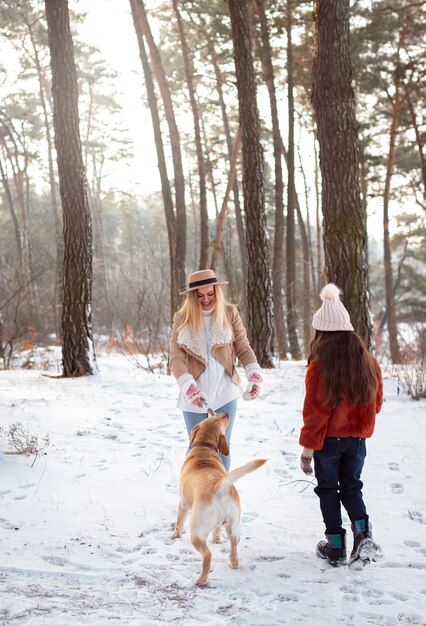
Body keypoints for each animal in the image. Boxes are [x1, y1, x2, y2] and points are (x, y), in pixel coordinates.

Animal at [171, 412, 266, 584]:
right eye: (216, 418)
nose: (226, 413)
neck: (204, 448)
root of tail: (218, 487)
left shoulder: (182, 503)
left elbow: (178, 523)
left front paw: (174, 535)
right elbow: (217, 530)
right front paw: (216, 539)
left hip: (196, 532)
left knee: (208, 555)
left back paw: (200, 580)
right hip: (234, 528)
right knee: (234, 549)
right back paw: (233, 563)